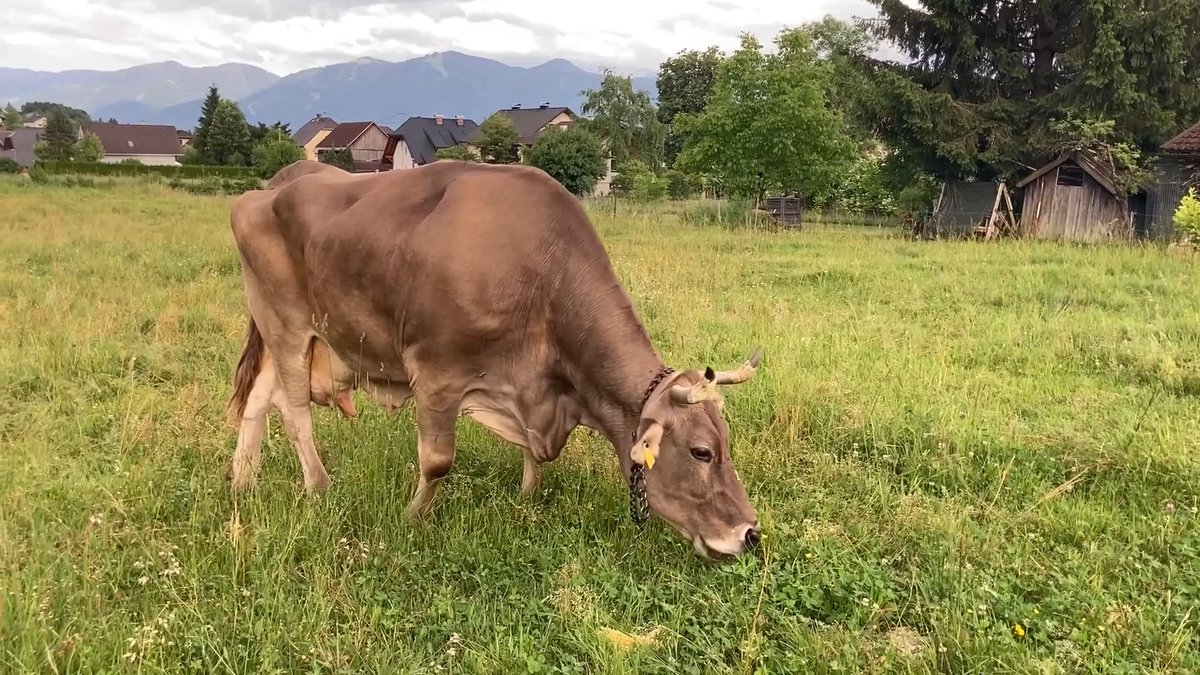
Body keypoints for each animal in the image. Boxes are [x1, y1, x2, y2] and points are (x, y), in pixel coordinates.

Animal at [225, 159, 765, 560]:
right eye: (701, 451)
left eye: (726, 441)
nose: (749, 533)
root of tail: (271, 185)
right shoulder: (436, 371)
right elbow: (438, 462)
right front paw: (412, 519)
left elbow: (532, 453)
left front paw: (527, 496)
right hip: (288, 326)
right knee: (295, 412)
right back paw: (318, 486)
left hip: (291, 336)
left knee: (258, 399)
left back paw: (242, 481)